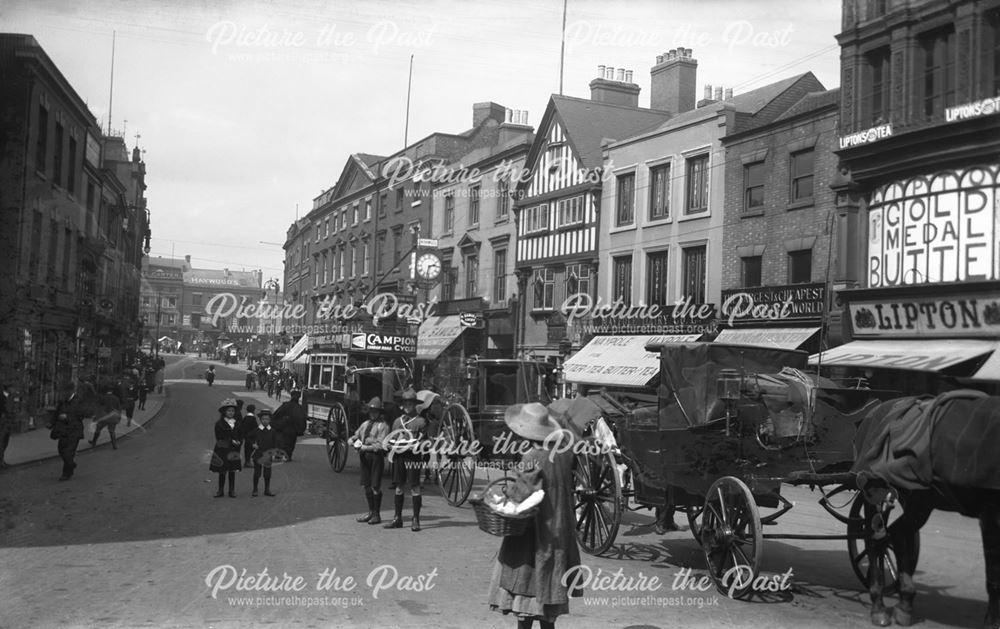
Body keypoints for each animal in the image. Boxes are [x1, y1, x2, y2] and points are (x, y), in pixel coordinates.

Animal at [852, 390, 1000, 624]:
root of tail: (876, 410)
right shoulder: (991, 512)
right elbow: (995, 578)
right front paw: (992, 623)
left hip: (919, 498)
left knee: (898, 533)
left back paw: (905, 603)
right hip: (874, 489)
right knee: (875, 541)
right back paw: (878, 606)